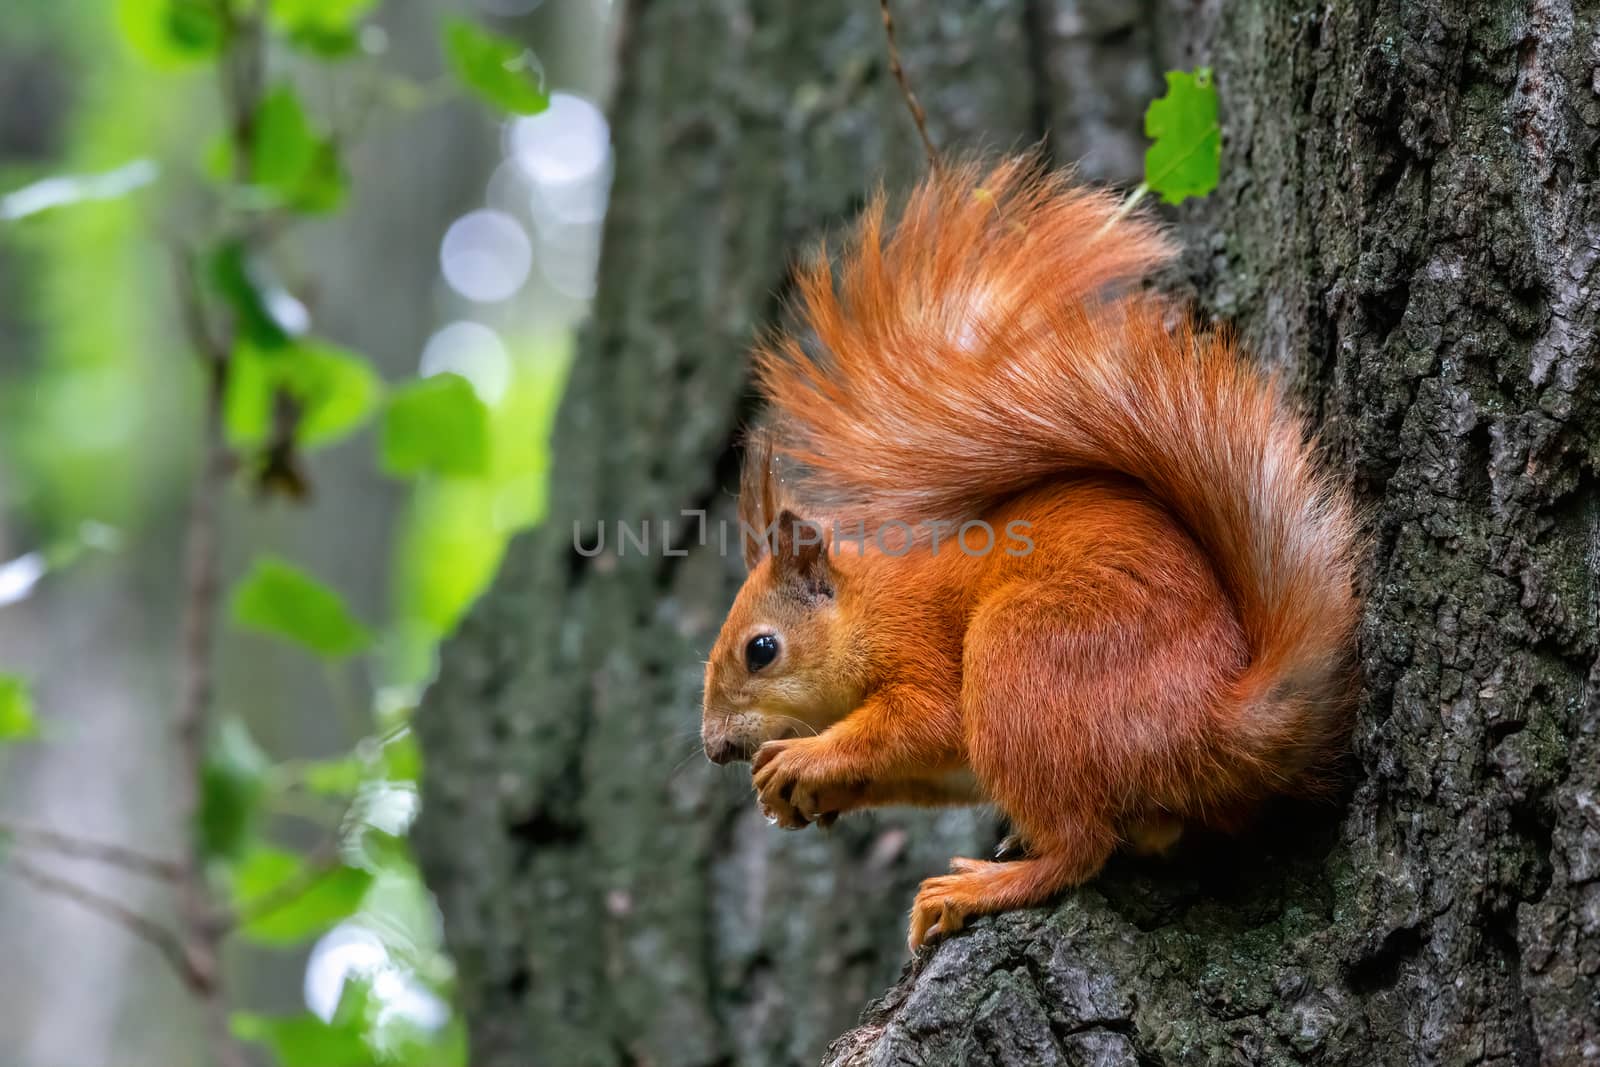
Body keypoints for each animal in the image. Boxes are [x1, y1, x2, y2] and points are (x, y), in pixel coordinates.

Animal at [700, 158, 1363, 953]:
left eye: (761, 649)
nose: (712, 748)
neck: (866, 610)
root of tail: (1213, 716)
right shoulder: (948, 769)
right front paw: (810, 792)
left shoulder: (917, 650)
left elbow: (923, 722)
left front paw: (804, 758)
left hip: (1023, 654)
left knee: (1080, 848)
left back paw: (982, 885)